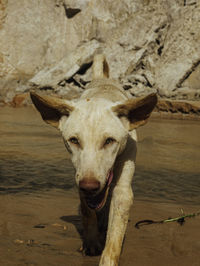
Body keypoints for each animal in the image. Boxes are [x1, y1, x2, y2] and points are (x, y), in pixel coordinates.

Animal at [30, 55, 158, 264]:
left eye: (109, 141)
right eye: (74, 140)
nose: (90, 186)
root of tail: (101, 79)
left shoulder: (122, 187)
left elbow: (115, 232)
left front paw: (108, 259)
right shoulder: (80, 176)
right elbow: (87, 211)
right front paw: (91, 242)